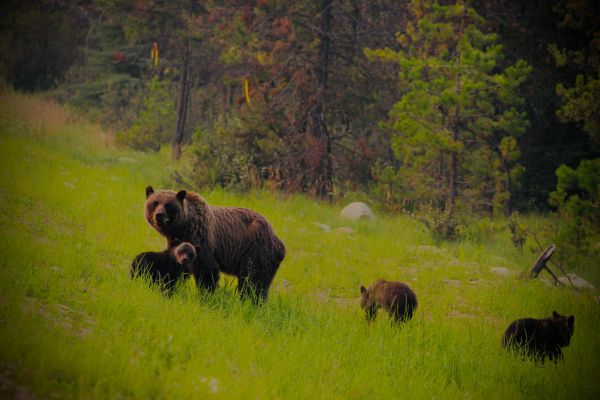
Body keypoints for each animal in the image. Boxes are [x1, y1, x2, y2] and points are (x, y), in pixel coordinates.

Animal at [145, 186, 286, 302]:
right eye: (155, 202)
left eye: (168, 204)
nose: (159, 215)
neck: (183, 228)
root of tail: (279, 242)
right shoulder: (178, 245)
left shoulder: (201, 240)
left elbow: (207, 270)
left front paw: (205, 295)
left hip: (256, 251)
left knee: (253, 281)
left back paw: (251, 302)